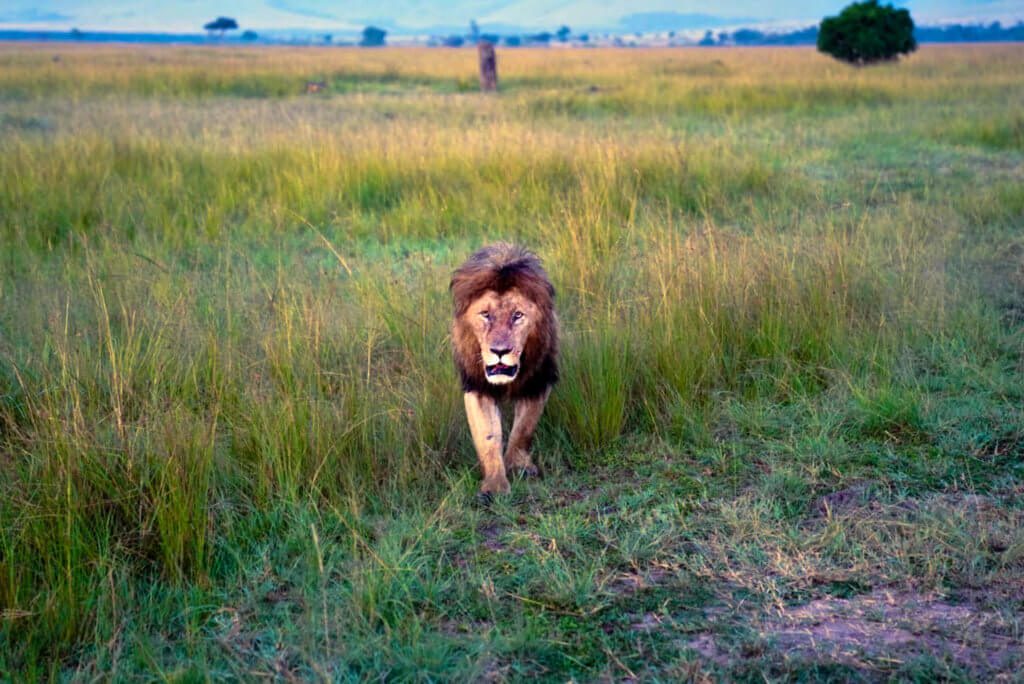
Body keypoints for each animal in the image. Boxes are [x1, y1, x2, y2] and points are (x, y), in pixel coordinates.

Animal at [450, 242, 561, 499]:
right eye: (486, 315)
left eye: (517, 315)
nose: (500, 351)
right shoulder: (478, 386)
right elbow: (488, 436)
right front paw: (495, 486)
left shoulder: (537, 381)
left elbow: (524, 428)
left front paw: (519, 466)